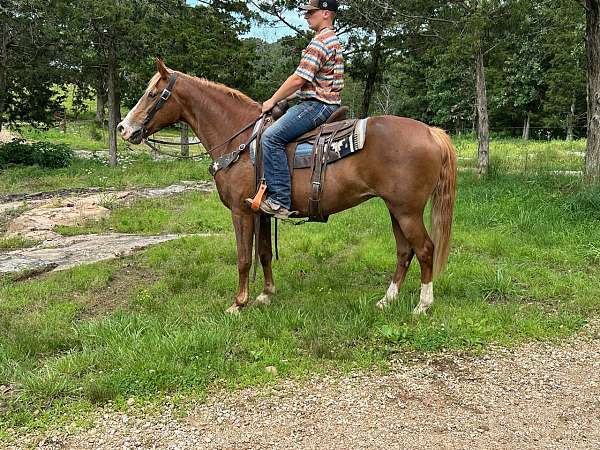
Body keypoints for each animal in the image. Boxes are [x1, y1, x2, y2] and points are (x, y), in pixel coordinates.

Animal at [117, 60, 458, 316]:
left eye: (152, 94)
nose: (124, 128)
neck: (239, 139)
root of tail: (431, 132)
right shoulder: (261, 212)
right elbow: (264, 253)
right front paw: (266, 294)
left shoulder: (241, 212)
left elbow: (244, 258)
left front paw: (238, 303)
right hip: (395, 209)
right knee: (404, 251)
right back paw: (387, 300)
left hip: (407, 211)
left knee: (425, 249)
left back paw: (422, 306)